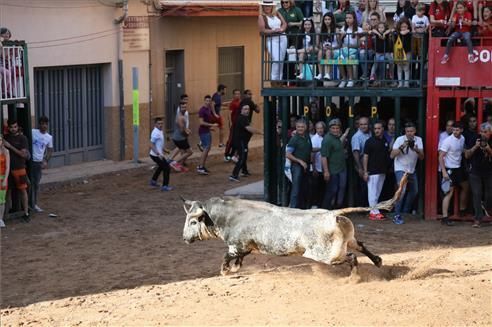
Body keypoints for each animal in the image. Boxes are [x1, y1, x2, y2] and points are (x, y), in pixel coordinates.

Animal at [181, 174, 408, 276]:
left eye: (192, 221)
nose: (184, 238)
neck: (226, 215)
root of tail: (333, 213)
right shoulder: (245, 248)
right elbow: (238, 259)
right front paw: (235, 268)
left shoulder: (236, 245)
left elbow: (226, 257)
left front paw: (225, 271)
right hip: (348, 239)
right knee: (360, 245)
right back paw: (377, 261)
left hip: (324, 254)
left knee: (351, 257)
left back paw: (354, 276)